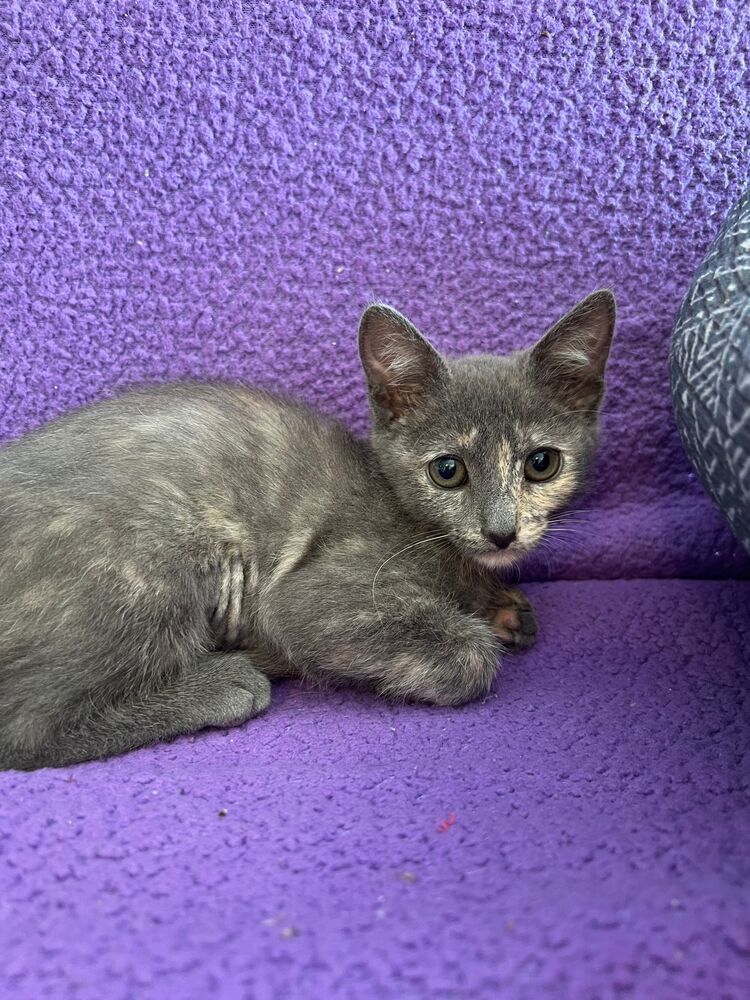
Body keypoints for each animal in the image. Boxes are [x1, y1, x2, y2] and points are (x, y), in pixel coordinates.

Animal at [0, 292, 616, 768]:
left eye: (542, 464)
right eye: (448, 471)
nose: (501, 532)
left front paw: (502, 603)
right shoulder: (306, 595)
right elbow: (469, 657)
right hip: (155, 548)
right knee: (23, 730)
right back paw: (226, 682)